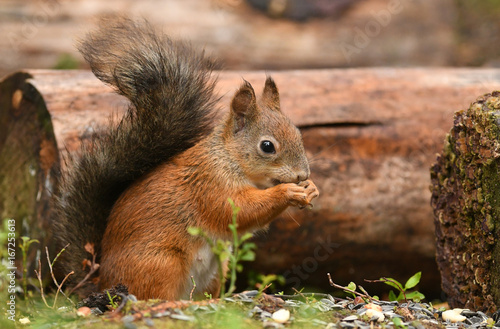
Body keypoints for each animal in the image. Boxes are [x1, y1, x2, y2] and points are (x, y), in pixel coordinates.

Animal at [53, 18, 320, 300]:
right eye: (267, 146)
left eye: (298, 133)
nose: (302, 175)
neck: (228, 158)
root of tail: (102, 284)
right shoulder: (210, 185)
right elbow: (238, 211)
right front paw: (288, 192)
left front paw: (311, 188)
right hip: (161, 263)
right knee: (155, 296)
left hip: (216, 269)